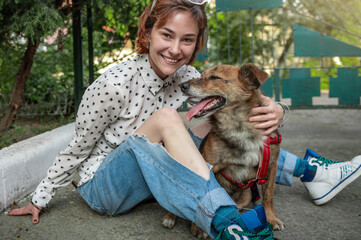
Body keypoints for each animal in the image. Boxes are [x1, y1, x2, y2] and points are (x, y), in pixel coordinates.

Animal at [163, 63, 284, 238]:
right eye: (202, 75)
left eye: (215, 77)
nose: (182, 86)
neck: (238, 125)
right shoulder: (208, 166)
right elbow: (202, 198)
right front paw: (198, 226)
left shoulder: (271, 165)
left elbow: (268, 195)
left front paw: (271, 218)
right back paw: (170, 217)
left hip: (245, 195)